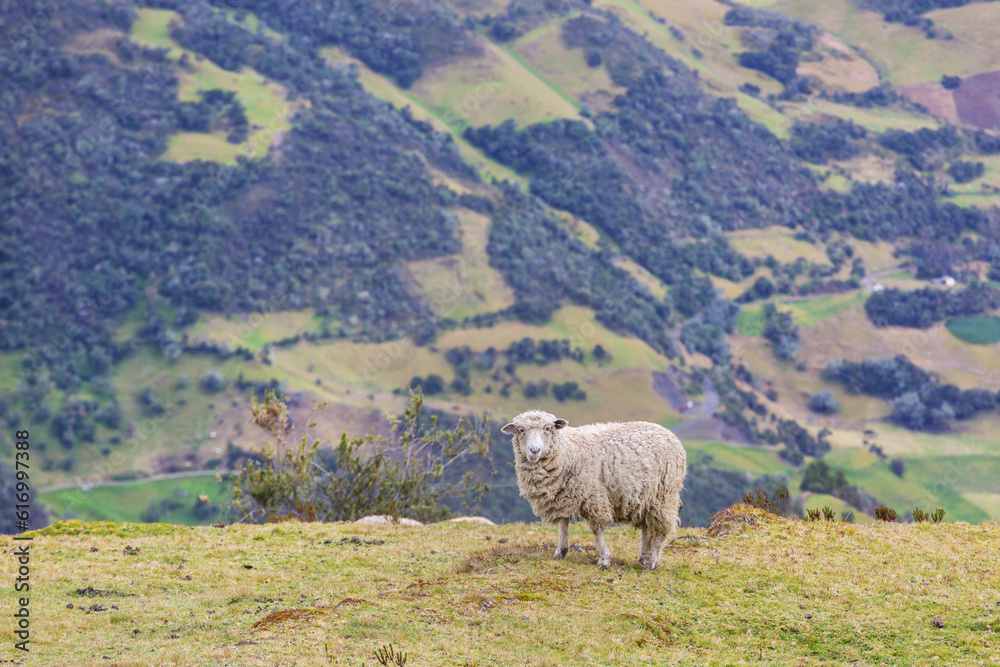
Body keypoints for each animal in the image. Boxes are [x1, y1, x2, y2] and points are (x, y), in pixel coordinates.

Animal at [502, 410, 686, 570]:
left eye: (548, 429)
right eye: (520, 430)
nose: (534, 451)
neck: (569, 451)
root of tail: (669, 433)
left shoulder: (595, 496)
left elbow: (597, 530)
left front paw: (604, 559)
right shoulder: (563, 496)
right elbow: (563, 524)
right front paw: (560, 552)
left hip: (664, 495)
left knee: (662, 529)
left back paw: (651, 561)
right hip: (647, 498)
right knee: (647, 528)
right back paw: (643, 557)